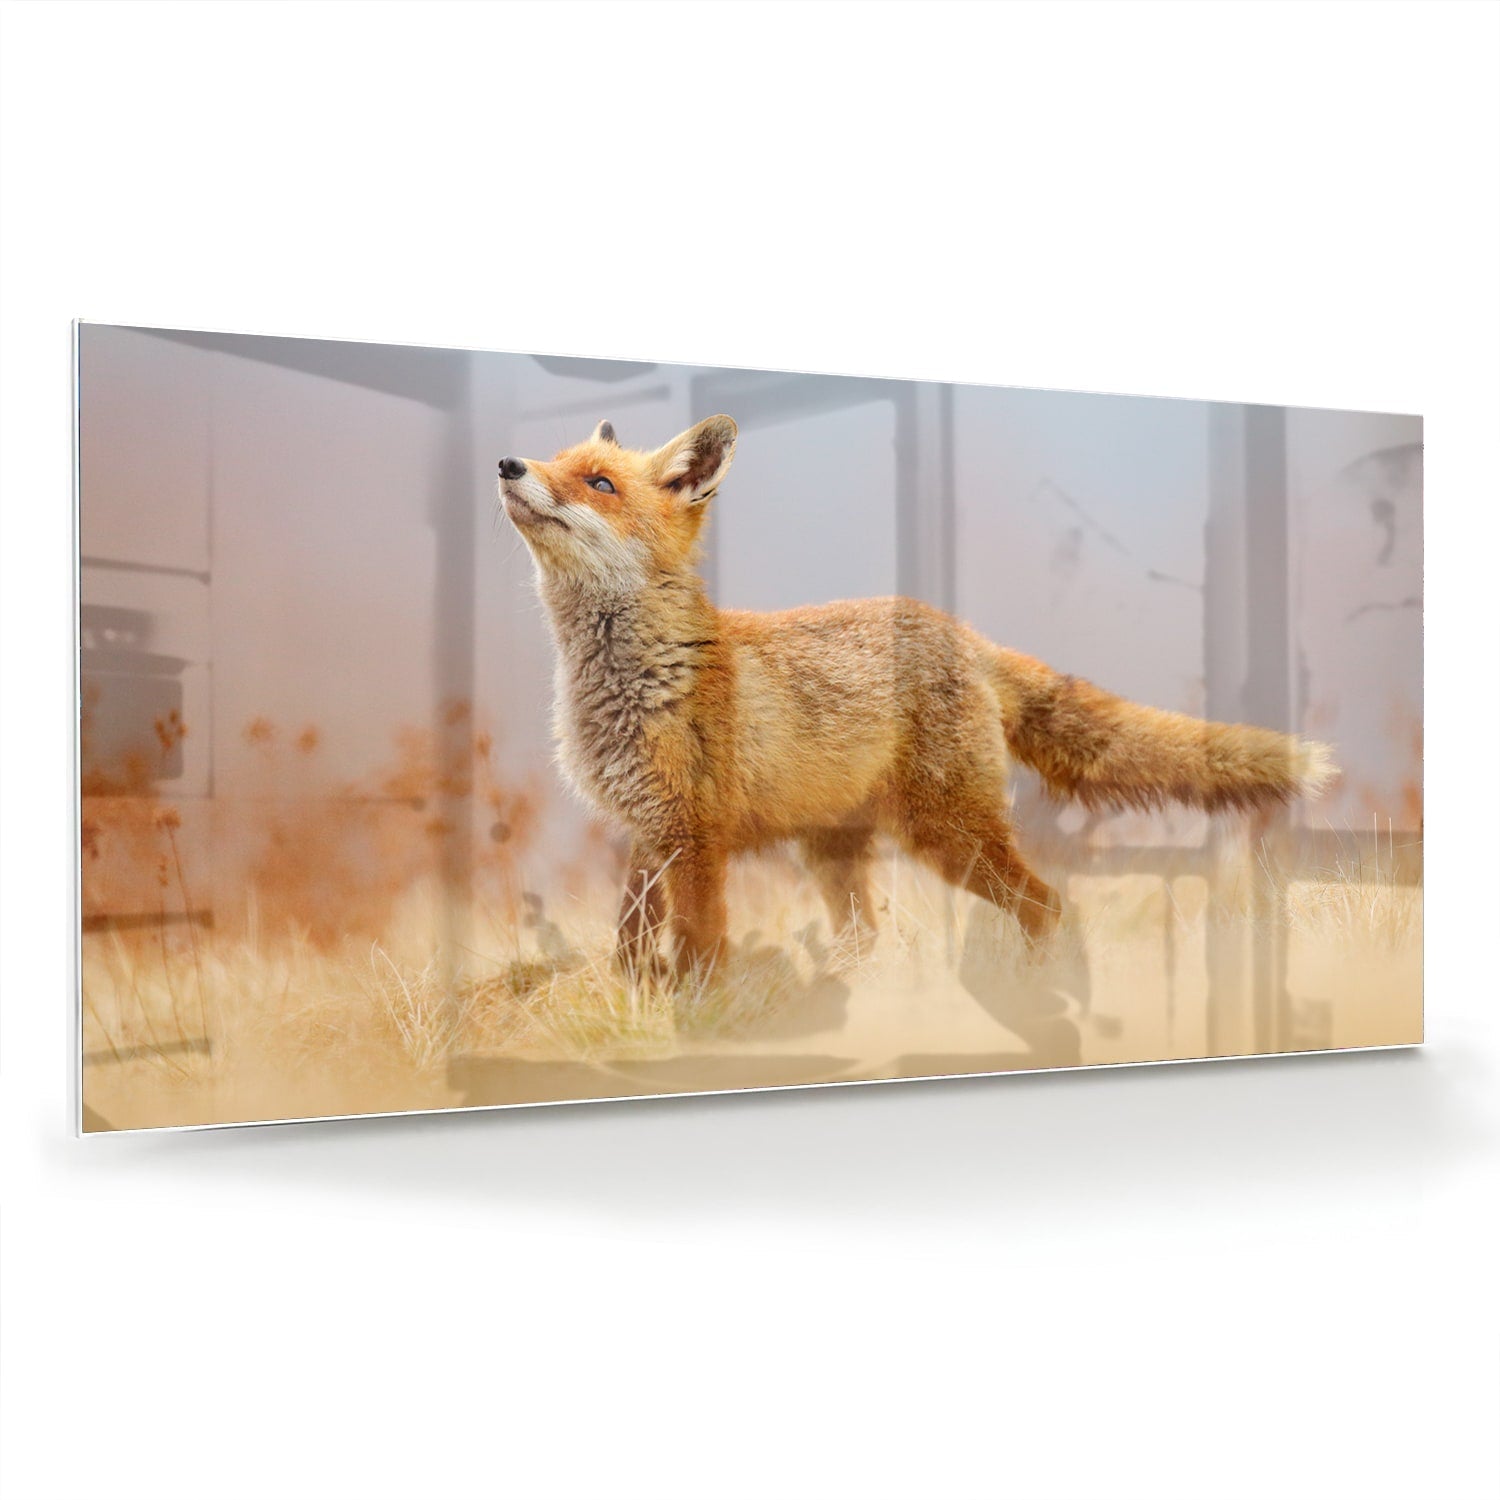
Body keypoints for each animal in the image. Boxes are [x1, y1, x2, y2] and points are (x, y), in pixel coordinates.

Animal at [498, 415, 1334, 980]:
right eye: (558, 462)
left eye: (599, 483)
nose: (507, 462)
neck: (629, 679)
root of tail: (962, 631)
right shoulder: (646, 831)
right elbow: (629, 945)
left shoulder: (694, 835)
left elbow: (700, 946)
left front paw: (698, 1021)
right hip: (838, 854)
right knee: (872, 938)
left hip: (946, 834)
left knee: (1046, 905)